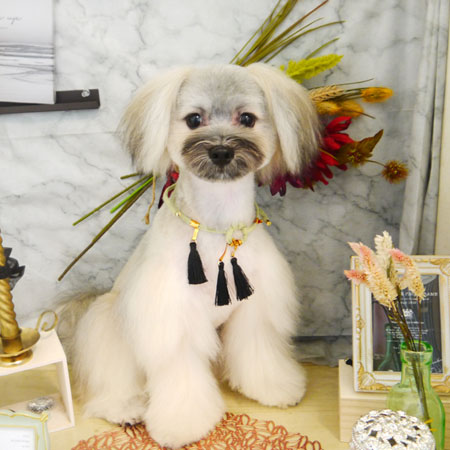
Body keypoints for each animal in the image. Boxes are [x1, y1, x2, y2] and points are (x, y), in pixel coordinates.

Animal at [71, 63, 320, 449]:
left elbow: (259, 351)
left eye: (246, 118)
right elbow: (181, 376)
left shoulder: (255, 310)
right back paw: (125, 408)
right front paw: (181, 425)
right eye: (193, 119)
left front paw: (275, 388)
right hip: (111, 325)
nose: (221, 151)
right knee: (114, 382)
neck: (218, 227)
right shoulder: (172, 320)